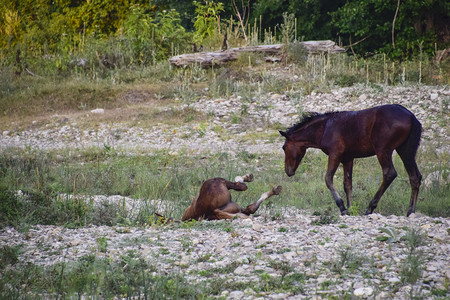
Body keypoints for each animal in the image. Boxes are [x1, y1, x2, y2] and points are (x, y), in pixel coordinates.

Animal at [280, 105, 424, 216]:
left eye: (284, 147)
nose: (288, 171)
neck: (324, 128)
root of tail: (410, 116)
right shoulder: (348, 158)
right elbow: (347, 184)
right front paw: (350, 208)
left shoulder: (335, 154)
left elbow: (328, 179)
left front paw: (342, 207)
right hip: (405, 150)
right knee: (415, 177)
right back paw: (410, 211)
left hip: (383, 150)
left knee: (389, 173)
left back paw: (370, 207)